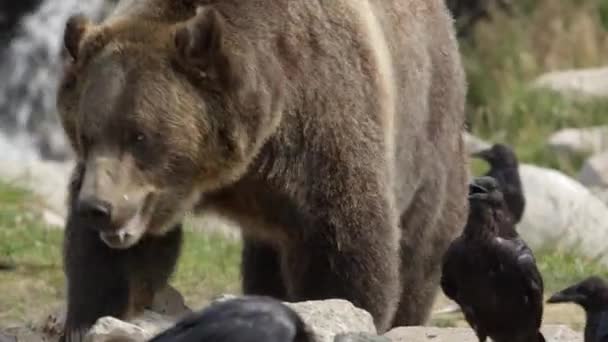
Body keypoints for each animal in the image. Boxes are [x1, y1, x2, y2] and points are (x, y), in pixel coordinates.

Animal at [55, 0, 466, 340]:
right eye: (86, 133)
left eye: (139, 135)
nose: (97, 208)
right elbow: (114, 268)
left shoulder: (320, 133)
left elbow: (345, 252)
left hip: (429, 146)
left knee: (418, 254)